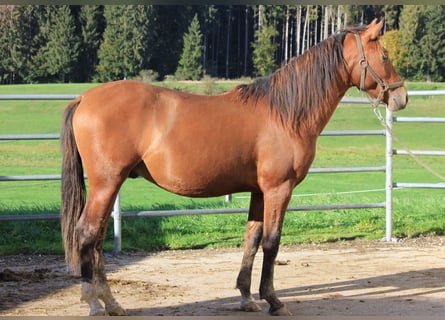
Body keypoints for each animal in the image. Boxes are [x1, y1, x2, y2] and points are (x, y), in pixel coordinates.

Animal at [61, 19, 406, 316]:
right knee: (87, 233)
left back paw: (111, 302)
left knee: (98, 237)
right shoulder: (279, 189)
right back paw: (94, 302)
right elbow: (272, 242)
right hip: (107, 183)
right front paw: (274, 301)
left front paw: (246, 297)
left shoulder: (258, 191)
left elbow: (252, 238)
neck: (285, 113)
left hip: (110, 185)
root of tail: (84, 98)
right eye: (385, 55)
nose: (401, 97)